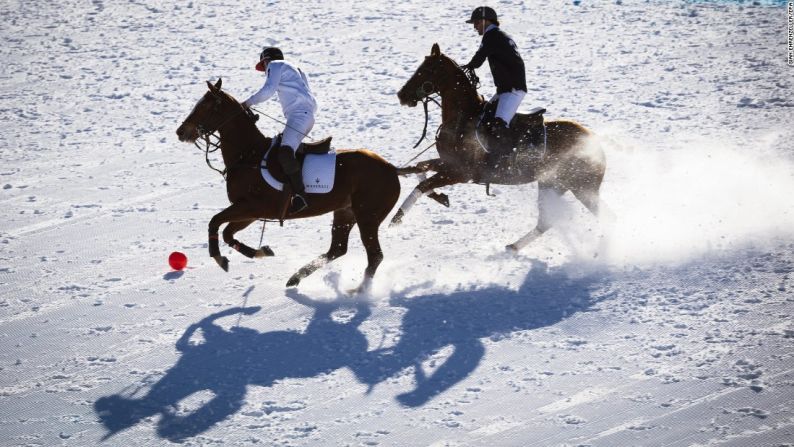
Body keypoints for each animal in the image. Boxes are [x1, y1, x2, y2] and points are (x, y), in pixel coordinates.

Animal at [176, 79, 400, 292]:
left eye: (205, 106)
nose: (180, 132)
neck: (247, 155)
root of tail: (392, 168)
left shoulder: (252, 207)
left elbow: (215, 222)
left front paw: (219, 257)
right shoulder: (250, 212)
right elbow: (227, 232)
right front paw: (261, 252)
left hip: (367, 216)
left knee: (375, 255)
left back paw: (359, 291)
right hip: (345, 212)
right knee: (337, 248)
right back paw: (295, 278)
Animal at [392, 44, 608, 252]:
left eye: (427, 69)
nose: (401, 95)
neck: (463, 118)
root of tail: (596, 143)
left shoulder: (461, 172)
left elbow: (421, 185)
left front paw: (396, 219)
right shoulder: (448, 164)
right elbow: (420, 168)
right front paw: (439, 197)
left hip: (582, 187)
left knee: (605, 218)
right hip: (552, 185)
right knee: (546, 222)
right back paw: (513, 247)